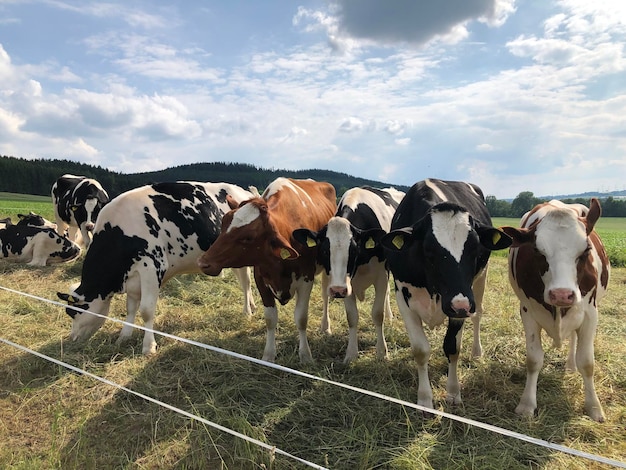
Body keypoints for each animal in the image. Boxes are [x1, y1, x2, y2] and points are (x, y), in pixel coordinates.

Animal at [56, 182, 256, 354]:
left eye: (72, 312)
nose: (73, 338)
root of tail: (245, 193)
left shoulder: (151, 267)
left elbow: (146, 310)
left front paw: (148, 346)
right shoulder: (133, 277)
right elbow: (131, 308)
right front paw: (124, 336)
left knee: (246, 282)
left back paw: (247, 312)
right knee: (243, 280)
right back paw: (252, 305)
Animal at [199, 176, 336, 364]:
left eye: (248, 237)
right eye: (223, 224)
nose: (203, 262)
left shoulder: (306, 279)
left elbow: (301, 318)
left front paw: (305, 355)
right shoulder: (261, 279)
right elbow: (270, 319)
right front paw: (269, 355)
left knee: (325, 296)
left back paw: (326, 326)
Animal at [290, 185, 402, 362]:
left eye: (354, 250)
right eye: (324, 251)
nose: (337, 290)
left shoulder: (381, 276)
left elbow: (378, 314)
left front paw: (382, 352)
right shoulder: (347, 284)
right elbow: (352, 317)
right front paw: (351, 354)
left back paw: (390, 316)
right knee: (325, 296)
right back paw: (325, 327)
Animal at [378, 178, 510, 410]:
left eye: (475, 249)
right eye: (429, 250)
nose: (461, 305)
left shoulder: (460, 304)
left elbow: (452, 347)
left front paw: (453, 392)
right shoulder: (403, 297)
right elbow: (421, 350)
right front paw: (424, 399)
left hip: (480, 282)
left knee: (478, 314)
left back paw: (477, 352)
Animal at [500, 198, 608, 422]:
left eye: (585, 250)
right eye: (537, 251)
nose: (561, 294)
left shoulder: (590, 314)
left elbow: (587, 362)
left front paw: (594, 407)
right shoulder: (528, 313)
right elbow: (534, 359)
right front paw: (527, 404)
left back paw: (571, 365)